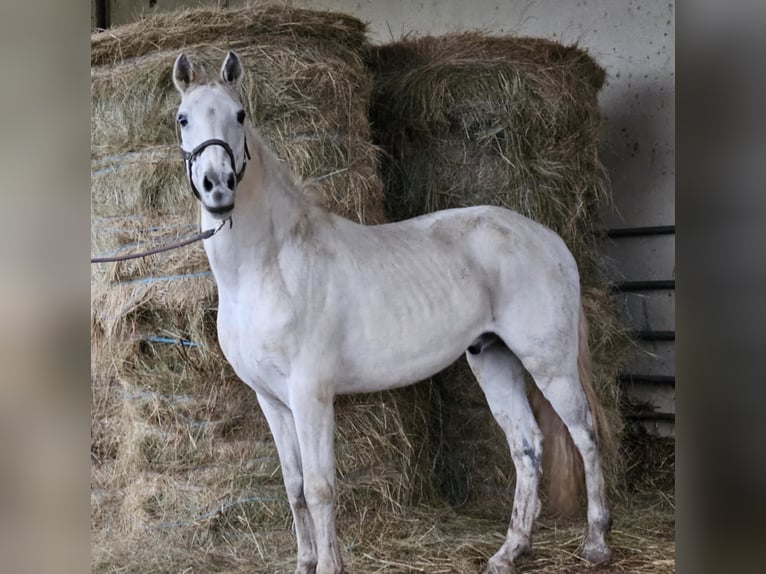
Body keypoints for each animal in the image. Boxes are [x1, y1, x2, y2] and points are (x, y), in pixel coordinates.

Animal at [172, 51, 612, 572]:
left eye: (239, 115)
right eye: (182, 119)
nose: (217, 188)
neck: (269, 266)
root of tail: (548, 238)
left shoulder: (310, 395)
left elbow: (320, 489)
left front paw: (329, 566)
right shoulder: (271, 401)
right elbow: (294, 487)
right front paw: (304, 563)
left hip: (550, 364)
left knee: (584, 435)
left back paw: (596, 542)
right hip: (493, 357)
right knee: (527, 446)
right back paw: (508, 552)